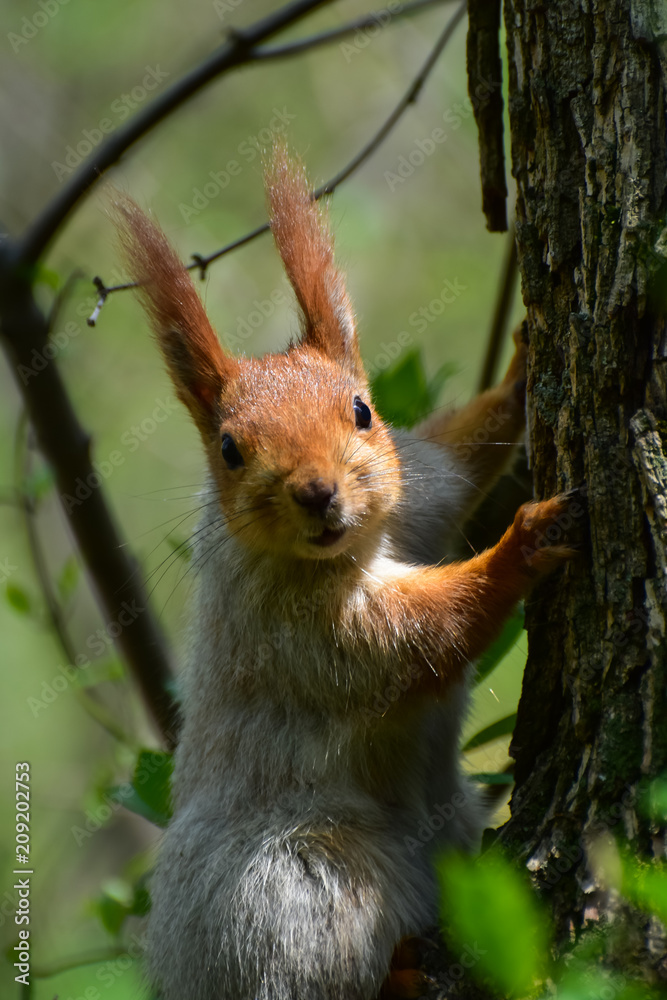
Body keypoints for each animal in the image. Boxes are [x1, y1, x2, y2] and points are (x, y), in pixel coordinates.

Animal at [115, 148, 576, 1000]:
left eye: (362, 411)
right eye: (228, 449)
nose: (317, 491)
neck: (359, 545)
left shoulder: (420, 490)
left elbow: (460, 458)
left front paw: (524, 368)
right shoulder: (298, 632)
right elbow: (421, 637)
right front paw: (525, 542)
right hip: (295, 894)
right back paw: (397, 973)